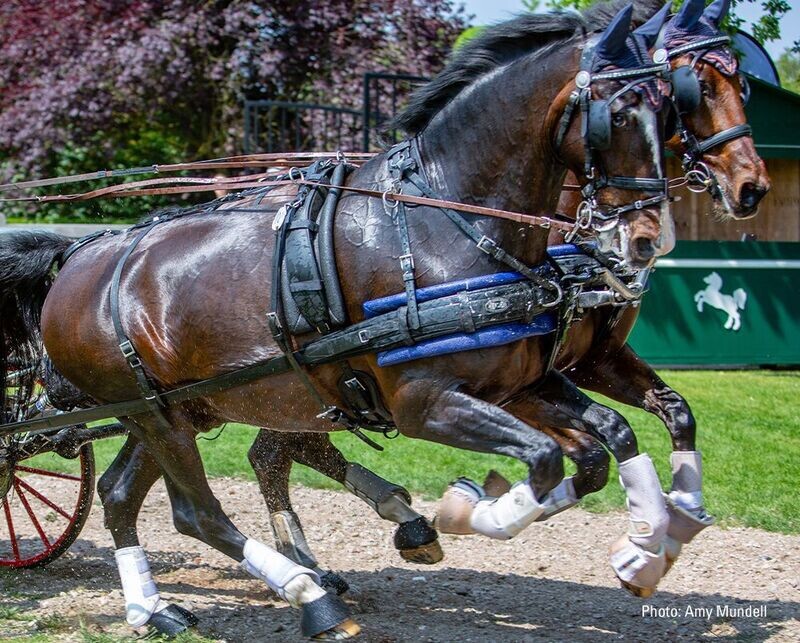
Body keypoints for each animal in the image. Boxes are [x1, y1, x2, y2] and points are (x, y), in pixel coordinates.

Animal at [0, 5, 676, 640]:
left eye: (669, 109)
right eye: (619, 113)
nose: (647, 238)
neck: (440, 226)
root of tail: (77, 256)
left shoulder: (524, 384)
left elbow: (598, 446)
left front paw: (646, 545)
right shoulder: (425, 402)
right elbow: (547, 456)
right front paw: (459, 515)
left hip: (175, 408)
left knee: (121, 494)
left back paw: (153, 609)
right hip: (158, 415)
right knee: (198, 512)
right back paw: (309, 597)